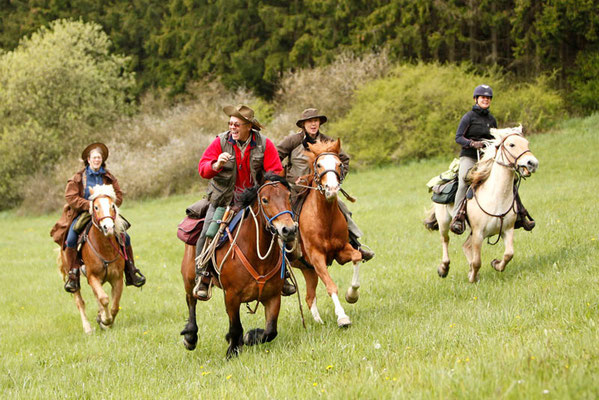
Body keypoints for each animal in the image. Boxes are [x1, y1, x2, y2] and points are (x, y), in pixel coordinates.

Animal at [58, 185, 127, 334]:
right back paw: (88, 328)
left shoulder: (117, 278)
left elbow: (115, 305)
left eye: (112, 205)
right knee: (80, 301)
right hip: (74, 277)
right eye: (95, 207)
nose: (109, 227)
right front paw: (105, 320)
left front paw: (106, 322)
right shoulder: (93, 276)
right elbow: (104, 299)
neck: (105, 248)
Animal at [180, 173, 298, 358]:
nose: (289, 229)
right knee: (191, 300)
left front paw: (250, 337)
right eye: (265, 200)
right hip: (189, 276)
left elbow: (270, 331)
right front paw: (232, 351)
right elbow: (236, 327)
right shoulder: (232, 296)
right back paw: (190, 337)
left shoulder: (273, 296)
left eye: (288, 196)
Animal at [292, 141, 364, 328]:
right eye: (318, 165)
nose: (331, 189)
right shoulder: (317, 258)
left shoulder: (341, 251)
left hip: (308, 270)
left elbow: (357, 256)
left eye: (339, 164)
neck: (324, 218)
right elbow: (331, 286)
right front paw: (342, 317)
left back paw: (319, 322)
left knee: (309, 297)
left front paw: (352, 295)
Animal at [432, 125, 540, 282]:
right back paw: (443, 268)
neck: (496, 198)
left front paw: (495, 264)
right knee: (445, 240)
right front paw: (472, 278)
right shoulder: (478, 233)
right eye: (511, 144)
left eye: (527, 143)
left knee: (465, 246)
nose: (532, 163)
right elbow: (477, 261)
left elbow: (509, 254)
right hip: (444, 222)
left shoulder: (507, 230)